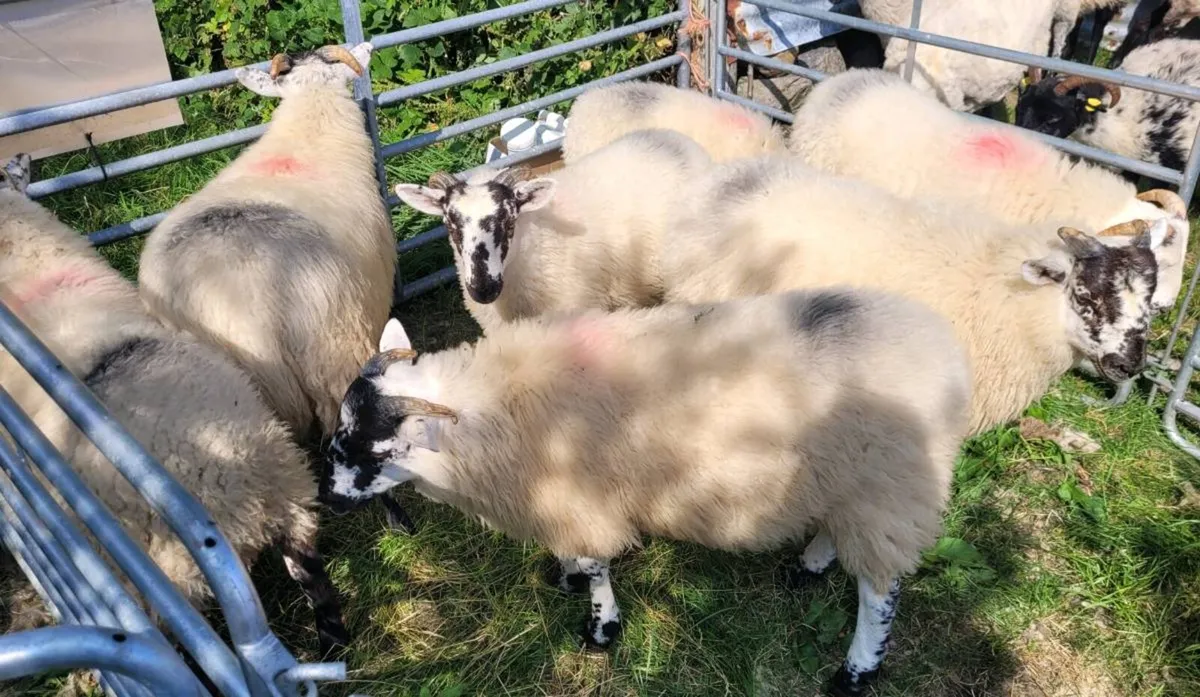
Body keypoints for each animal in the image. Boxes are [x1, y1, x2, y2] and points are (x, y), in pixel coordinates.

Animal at [320, 288, 972, 697]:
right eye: (339, 430)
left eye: (374, 450)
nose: (327, 498)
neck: (489, 417)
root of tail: (943, 350)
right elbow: (576, 556)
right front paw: (563, 576)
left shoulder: (578, 494)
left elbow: (596, 564)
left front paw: (600, 628)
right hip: (849, 481)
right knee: (837, 532)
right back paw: (807, 566)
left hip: (887, 485)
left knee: (879, 592)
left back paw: (857, 670)